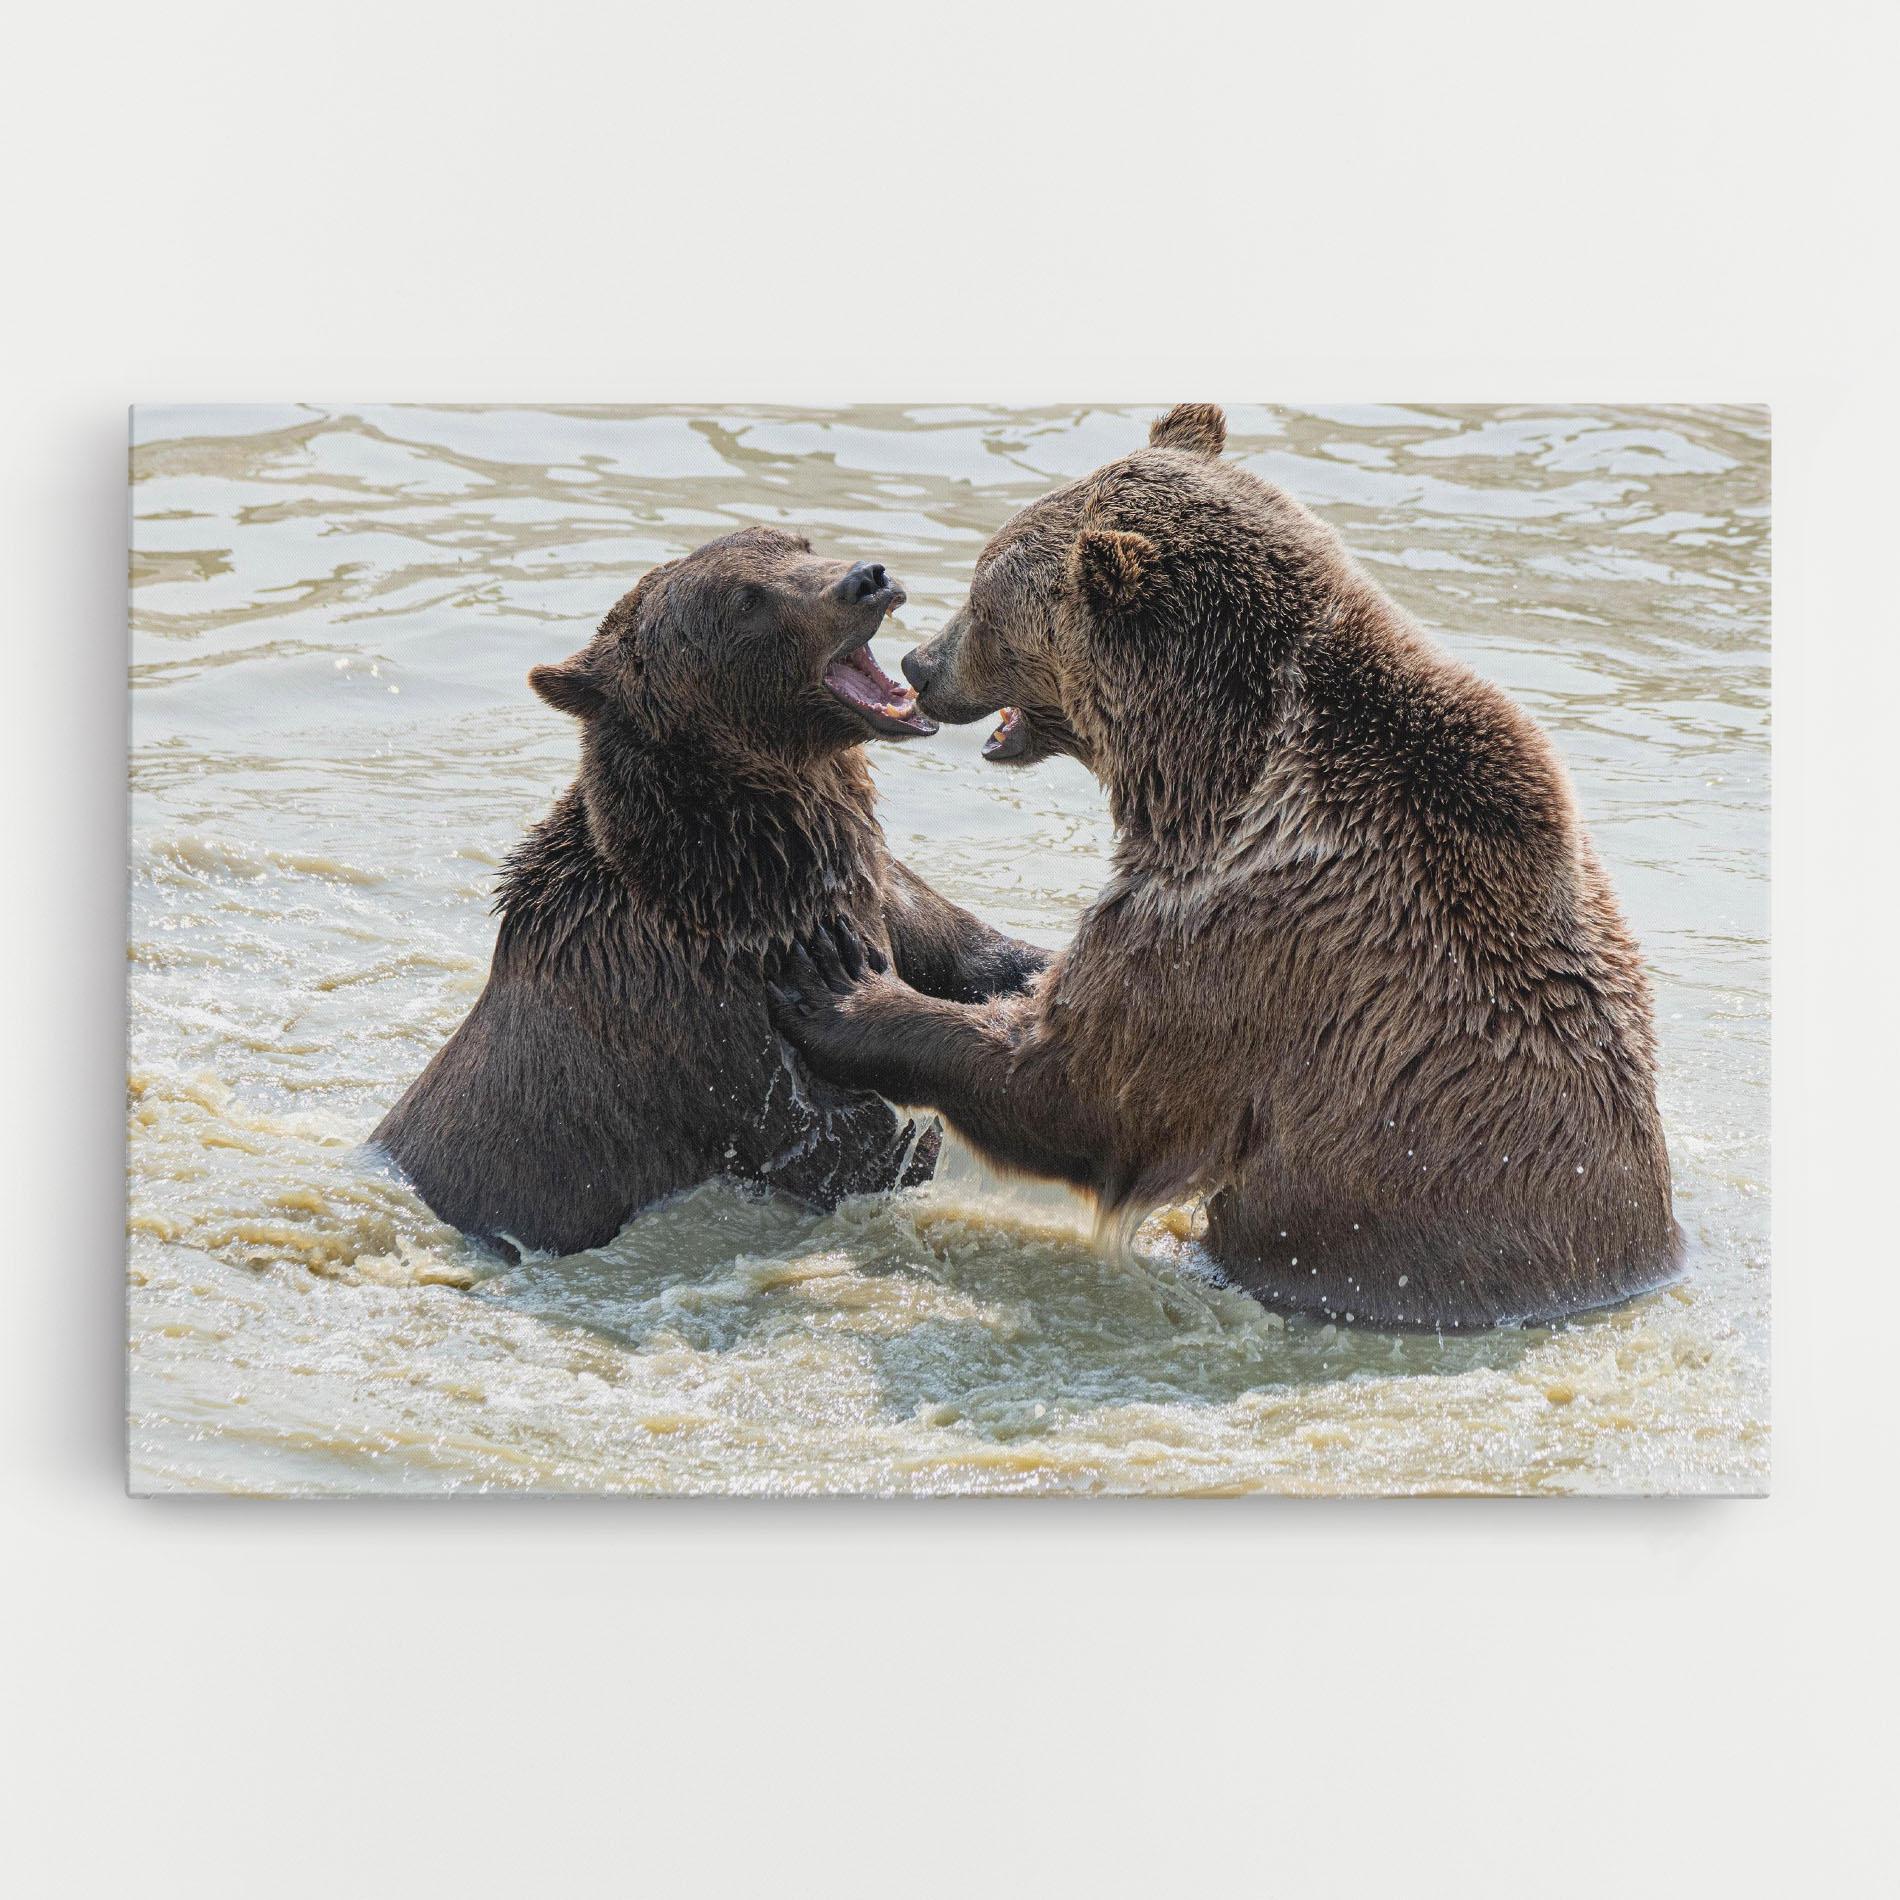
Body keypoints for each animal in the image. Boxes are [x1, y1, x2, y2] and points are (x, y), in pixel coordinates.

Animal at [371, 525, 1049, 1259]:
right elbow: (854, 1145)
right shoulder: (721, 1028)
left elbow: (978, 954)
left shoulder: (878, 890)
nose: (867, 579)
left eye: (798, 543)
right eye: (747, 600)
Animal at [768, 405, 1681, 1331]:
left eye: (985, 601)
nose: (920, 665)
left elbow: (1079, 1084)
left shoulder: (1241, 930)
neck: (1206, 771)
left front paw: (842, 990)